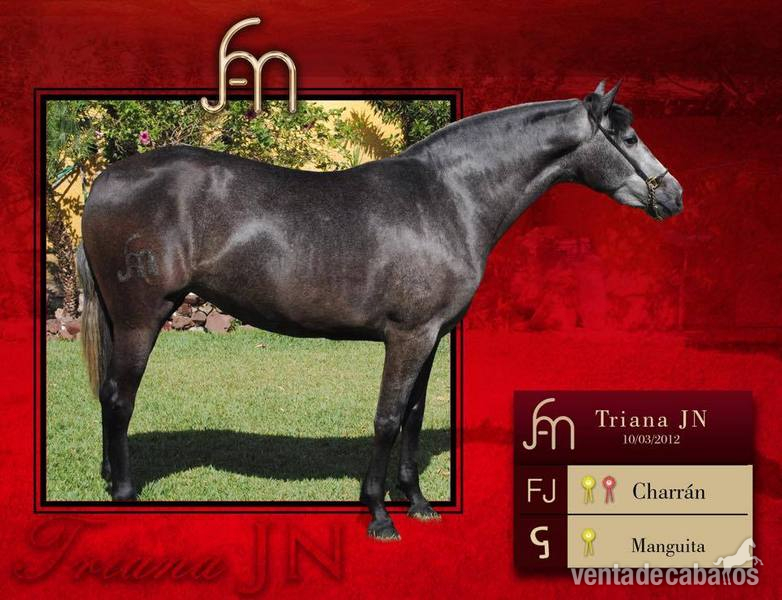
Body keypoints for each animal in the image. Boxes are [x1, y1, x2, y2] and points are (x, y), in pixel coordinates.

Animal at [77, 81, 682, 540]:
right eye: (629, 136)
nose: (674, 195)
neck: (449, 200)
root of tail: (105, 178)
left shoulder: (433, 335)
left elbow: (413, 415)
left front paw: (417, 502)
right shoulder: (408, 335)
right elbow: (388, 418)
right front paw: (378, 514)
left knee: (108, 395)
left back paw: (107, 476)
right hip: (141, 317)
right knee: (120, 397)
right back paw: (126, 494)